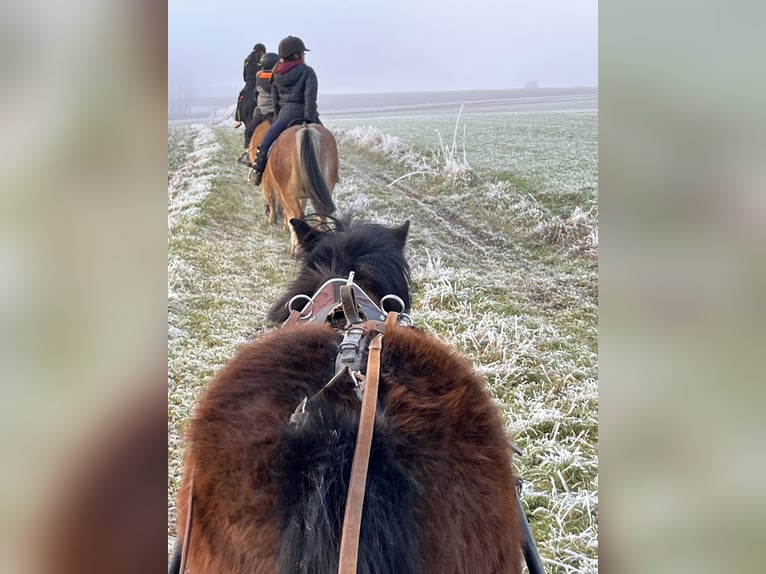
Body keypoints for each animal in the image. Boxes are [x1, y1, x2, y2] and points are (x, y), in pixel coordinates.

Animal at [260, 124, 340, 254]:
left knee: (298, 215)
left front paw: (274, 220)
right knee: (321, 216)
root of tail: (306, 129)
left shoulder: (273, 187)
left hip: (288, 193)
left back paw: (295, 248)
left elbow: (277, 204)